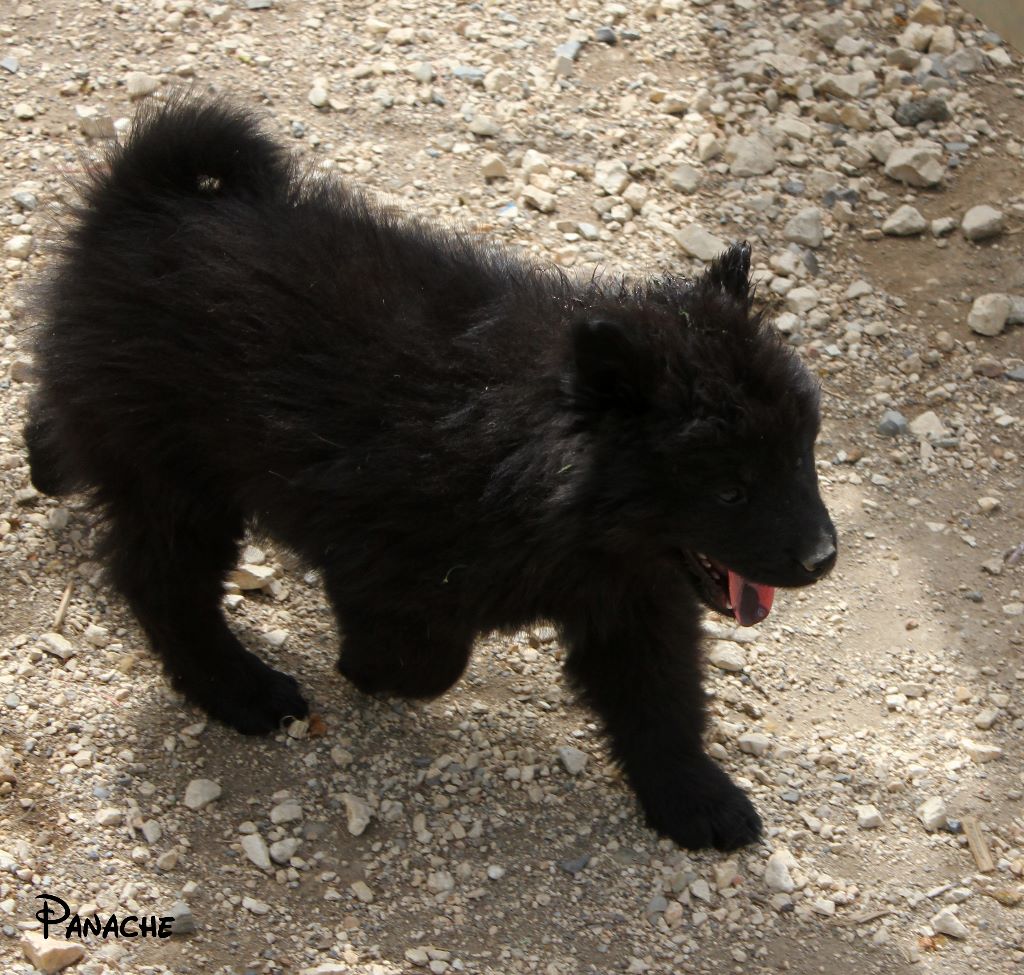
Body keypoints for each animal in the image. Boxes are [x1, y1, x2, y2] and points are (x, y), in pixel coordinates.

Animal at [25, 95, 839, 848]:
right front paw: (364, 665)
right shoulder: (385, 549)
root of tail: (139, 200)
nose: (822, 558)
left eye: (803, 455)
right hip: (177, 474)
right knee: (164, 581)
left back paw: (45, 457)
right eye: (729, 488)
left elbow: (661, 697)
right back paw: (240, 688)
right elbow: (429, 658)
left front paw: (695, 797)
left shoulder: (635, 594)